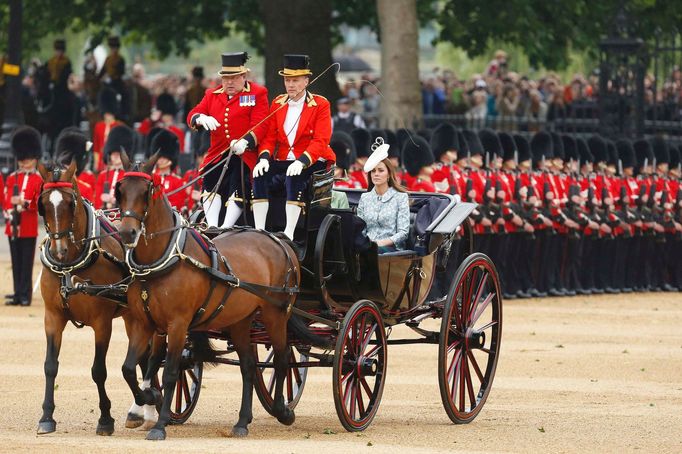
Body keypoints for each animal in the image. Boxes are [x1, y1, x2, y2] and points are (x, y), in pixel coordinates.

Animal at [36, 161, 157, 434]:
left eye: (70, 203)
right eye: (44, 204)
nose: (59, 250)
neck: (70, 266)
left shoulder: (102, 323)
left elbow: (98, 371)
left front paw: (105, 418)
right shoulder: (52, 318)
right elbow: (50, 366)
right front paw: (47, 416)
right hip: (133, 316)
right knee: (144, 358)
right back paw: (144, 409)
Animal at [114, 153, 298, 440]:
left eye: (147, 191)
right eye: (120, 191)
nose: (126, 233)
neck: (164, 259)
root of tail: (278, 241)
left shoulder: (178, 325)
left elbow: (170, 372)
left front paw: (159, 423)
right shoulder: (144, 323)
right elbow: (130, 368)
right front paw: (147, 398)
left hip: (275, 315)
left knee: (280, 360)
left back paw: (282, 410)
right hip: (240, 320)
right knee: (248, 366)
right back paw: (242, 421)